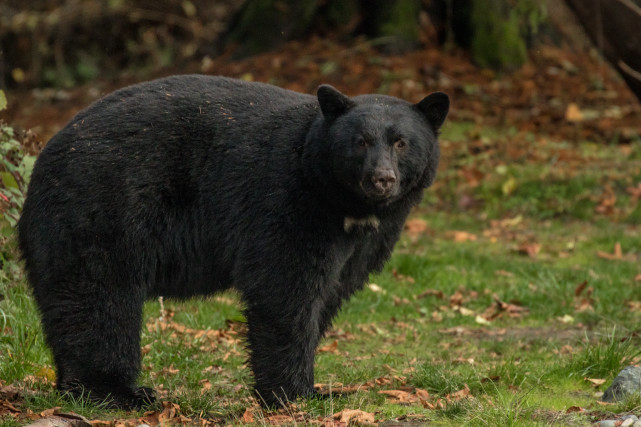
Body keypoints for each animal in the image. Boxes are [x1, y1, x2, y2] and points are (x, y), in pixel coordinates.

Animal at [18, 75, 450, 410]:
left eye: (401, 142)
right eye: (360, 142)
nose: (382, 180)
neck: (342, 202)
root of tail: (44, 158)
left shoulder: (367, 240)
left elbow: (332, 290)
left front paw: (317, 386)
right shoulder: (286, 200)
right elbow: (284, 287)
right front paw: (294, 394)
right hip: (102, 209)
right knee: (101, 299)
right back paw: (117, 392)